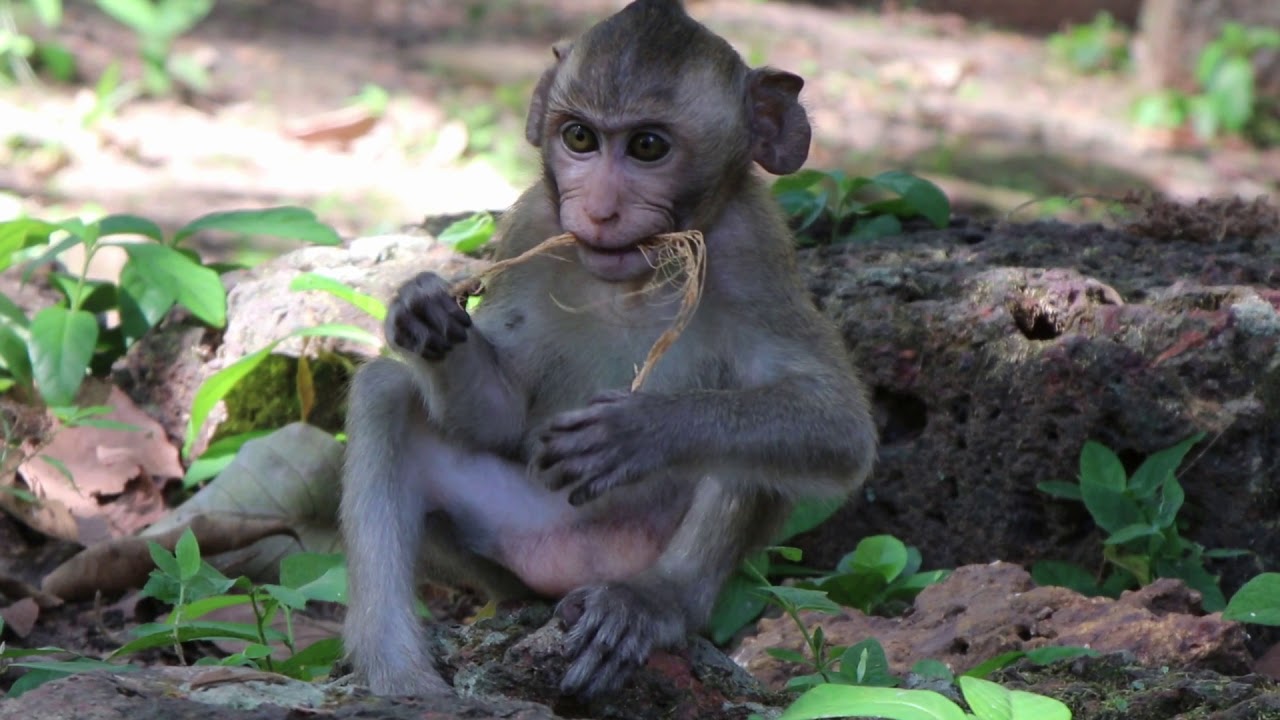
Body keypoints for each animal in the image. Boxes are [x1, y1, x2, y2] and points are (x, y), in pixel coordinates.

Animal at [339, 0, 877, 699]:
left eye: (648, 146)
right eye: (580, 139)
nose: (597, 211)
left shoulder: (754, 250)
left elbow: (837, 423)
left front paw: (640, 429)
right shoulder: (533, 224)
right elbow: (499, 418)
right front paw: (421, 309)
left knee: (753, 437)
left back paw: (651, 602)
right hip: (515, 533)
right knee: (387, 392)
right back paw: (403, 678)